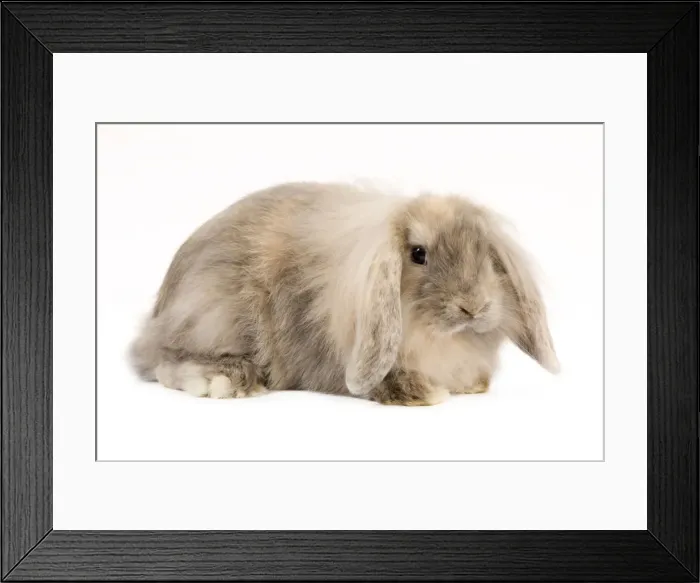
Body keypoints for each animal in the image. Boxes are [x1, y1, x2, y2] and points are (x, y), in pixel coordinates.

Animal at [129, 181, 559, 406]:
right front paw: (426, 393)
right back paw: (226, 380)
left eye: (485, 253)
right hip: (215, 315)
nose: (473, 306)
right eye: (418, 254)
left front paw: (471, 385)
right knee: (165, 360)